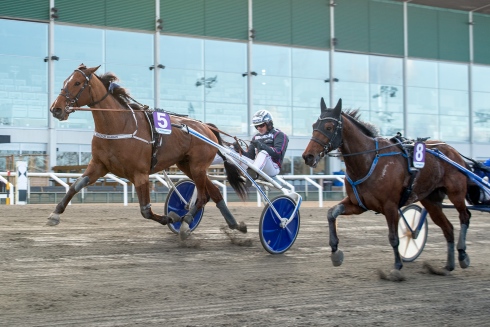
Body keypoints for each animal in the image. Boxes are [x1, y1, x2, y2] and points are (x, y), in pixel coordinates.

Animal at [49, 64, 247, 240]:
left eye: (77, 83)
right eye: (66, 81)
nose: (56, 109)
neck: (119, 125)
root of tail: (207, 127)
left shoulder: (140, 174)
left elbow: (145, 210)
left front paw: (172, 217)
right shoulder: (99, 165)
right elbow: (76, 185)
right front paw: (55, 214)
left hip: (198, 166)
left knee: (203, 196)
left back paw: (186, 223)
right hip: (188, 165)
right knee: (214, 192)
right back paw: (235, 225)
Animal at [302, 98, 470, 280]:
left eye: (329, 127)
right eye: (314, 125)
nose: (308, 156)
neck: (368, 160)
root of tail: (452, 151)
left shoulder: (390, 206)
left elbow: (394, 237)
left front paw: (397, 267)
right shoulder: (358, 204)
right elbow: (331, 213)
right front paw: (335, 253)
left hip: (456, 193)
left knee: (464, 216)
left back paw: (462, 255)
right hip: (431, 201)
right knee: (448, 228)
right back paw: (447, 266)